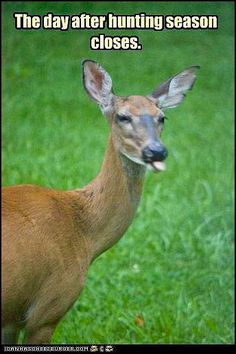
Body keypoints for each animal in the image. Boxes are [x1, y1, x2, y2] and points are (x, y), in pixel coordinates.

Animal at [1, 59, 199, 344]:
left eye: (162, 117)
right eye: (123, 116)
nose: (156, 151)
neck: (83, 232)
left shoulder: (12, 320)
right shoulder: (47, 309)